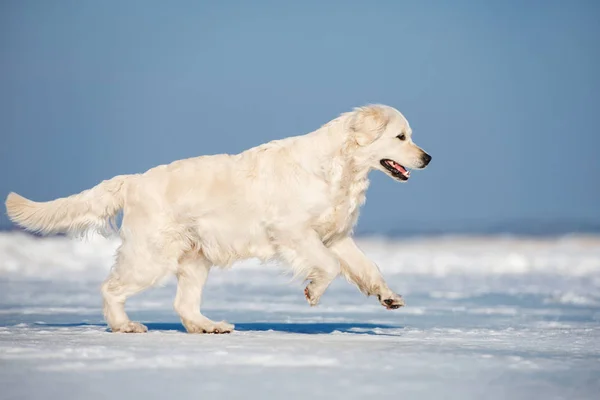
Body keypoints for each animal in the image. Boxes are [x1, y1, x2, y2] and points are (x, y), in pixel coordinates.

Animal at [3, 104, 432, 334]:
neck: (339, 168)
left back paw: (209, 326)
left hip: (195, 260)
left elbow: (367, 266)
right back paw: (125, 325)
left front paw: (389, 296)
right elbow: (328, 266)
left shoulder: (336, 235)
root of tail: (133, 180)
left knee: (183, 305)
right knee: (111, 288)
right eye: (400, 137)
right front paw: (312, 291)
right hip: (150, 257)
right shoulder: (293, 231)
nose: (428, 157)